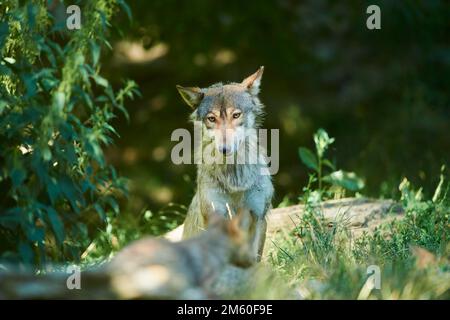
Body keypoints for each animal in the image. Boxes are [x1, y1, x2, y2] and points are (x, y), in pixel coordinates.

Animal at [176, 65, 274, 262]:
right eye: (211, 119)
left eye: (236, 115)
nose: (224, 148)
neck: (234, 178)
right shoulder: (215, 218)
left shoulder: (258, 217)